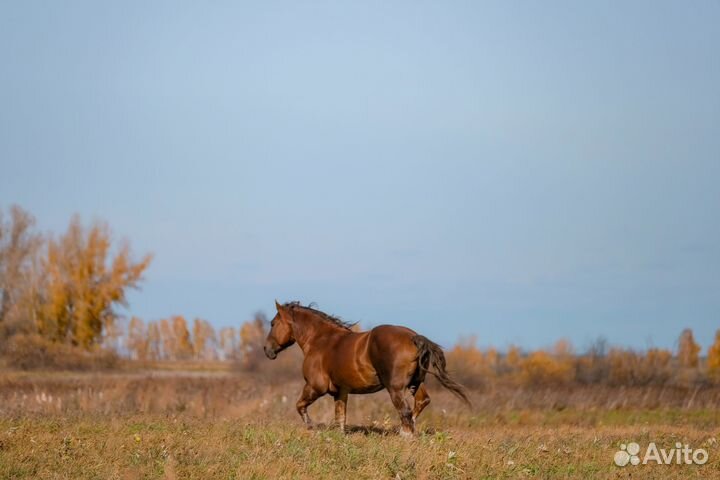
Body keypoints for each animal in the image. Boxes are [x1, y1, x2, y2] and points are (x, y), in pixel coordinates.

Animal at [262, 302, 470, 436]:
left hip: (395, 389)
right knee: (420, 403)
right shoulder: (340, 392)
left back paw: (405, 436)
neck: (320, 341)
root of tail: (413, 337)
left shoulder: (315, 387)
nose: (267, 350)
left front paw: (311, 428)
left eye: (272, 323)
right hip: (416, 384)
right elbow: (340, 419)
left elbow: (300, 406)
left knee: (405, 412)